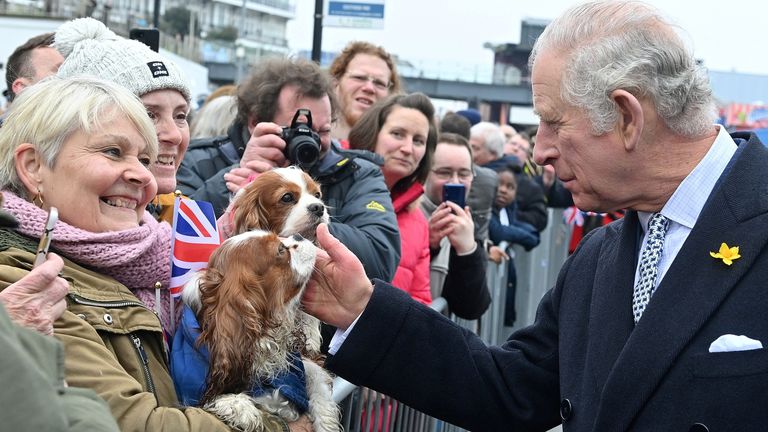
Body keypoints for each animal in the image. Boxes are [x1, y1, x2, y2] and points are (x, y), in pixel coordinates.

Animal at [182, 168, 338, 432]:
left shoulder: (302, 361)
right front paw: (236, 404)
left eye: (317, 194)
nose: (319, 207)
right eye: (287, 198)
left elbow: (316, 378)